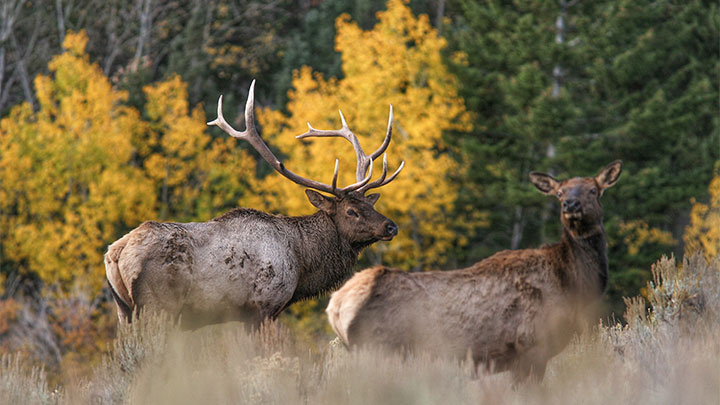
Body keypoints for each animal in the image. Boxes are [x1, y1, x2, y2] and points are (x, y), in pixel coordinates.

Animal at [102, 80, 404, 326]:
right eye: (351, 211)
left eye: (371, 205)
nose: (391, 227)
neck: (302, 261)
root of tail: (115, 253)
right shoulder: (261, 306)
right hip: (157, 304)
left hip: (123, 309)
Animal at [328, 160, 624, 378]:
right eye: (560, 192)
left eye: (594, 190)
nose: (570, 205)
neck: (572, 282)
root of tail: (335, 306)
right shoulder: (532, 347)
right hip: (379, 349)